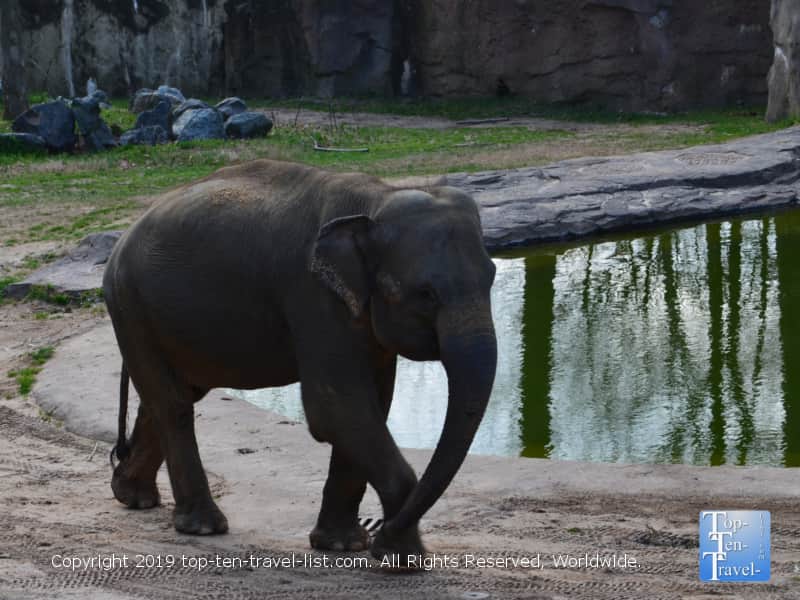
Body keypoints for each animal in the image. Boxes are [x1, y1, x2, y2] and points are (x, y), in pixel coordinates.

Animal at [103, 159, 497, 567]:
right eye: (425, 293)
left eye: (493, 277)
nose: (383, 533)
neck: (377, 199)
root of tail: (123, 238)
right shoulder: (312, 296)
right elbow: (335, 407)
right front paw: (400, 558)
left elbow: (372, 405)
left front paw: (345, 546)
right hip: (130, 306)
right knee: (174, 405)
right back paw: (202, 526)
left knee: (171, 397)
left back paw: (133, 496)